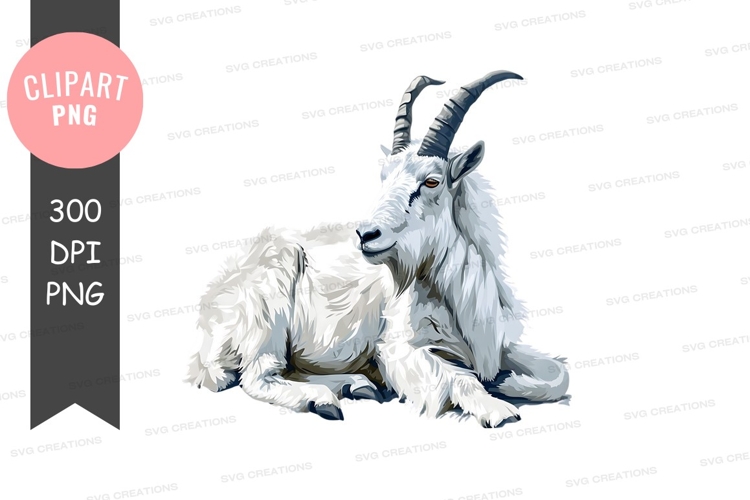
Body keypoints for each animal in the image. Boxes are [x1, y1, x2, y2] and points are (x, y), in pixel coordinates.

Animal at [186, 70, 570, 427]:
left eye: (432, 181)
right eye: (384, 178)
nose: (366, 235)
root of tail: (209, 314)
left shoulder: (500, 344)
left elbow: (558, 374)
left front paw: (508, 382)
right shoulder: (401, 349)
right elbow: (461, 379)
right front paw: (499, 409)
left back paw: (357, 385)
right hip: (268, 310)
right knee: (258, 376)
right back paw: (323, 400)